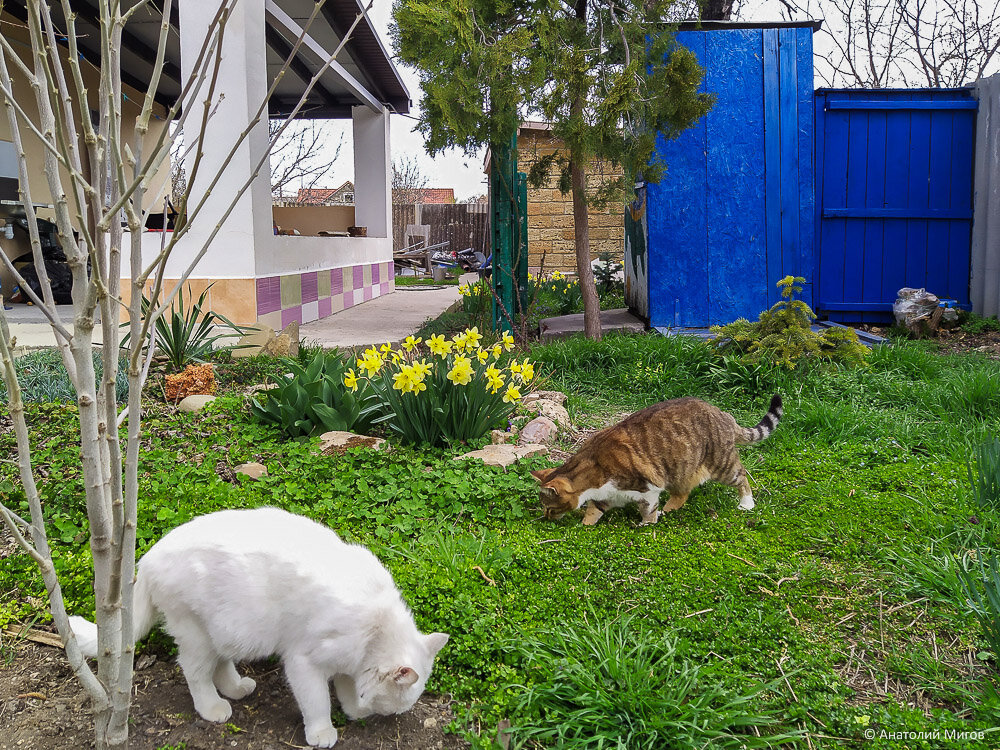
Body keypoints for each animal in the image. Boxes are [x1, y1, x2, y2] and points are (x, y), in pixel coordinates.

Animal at [73, 508, 454, 748]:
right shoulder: (303, 662)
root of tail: (147, 558)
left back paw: (237, 688)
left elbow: (346, 687)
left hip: (223, 633)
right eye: (394, 706)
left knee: (221, 666)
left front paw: (354, 710)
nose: (386, 715)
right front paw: (324, 731)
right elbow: (317, 702)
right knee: (196, 674)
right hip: (197, 635)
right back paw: (213, 708)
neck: (375, 629)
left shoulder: (347, 663)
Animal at [532, 396, 780, 524]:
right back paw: (668, 510)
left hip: (721, 464)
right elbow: (593, 511)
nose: (545, 517)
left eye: (549, 507)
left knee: (742, 476)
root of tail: (724, 414)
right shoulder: (605, 495)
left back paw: (746, 504)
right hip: (682, 469)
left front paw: (645, 525)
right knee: (681, 494)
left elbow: (648, 510)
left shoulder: (648, 489)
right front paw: (584, 527)